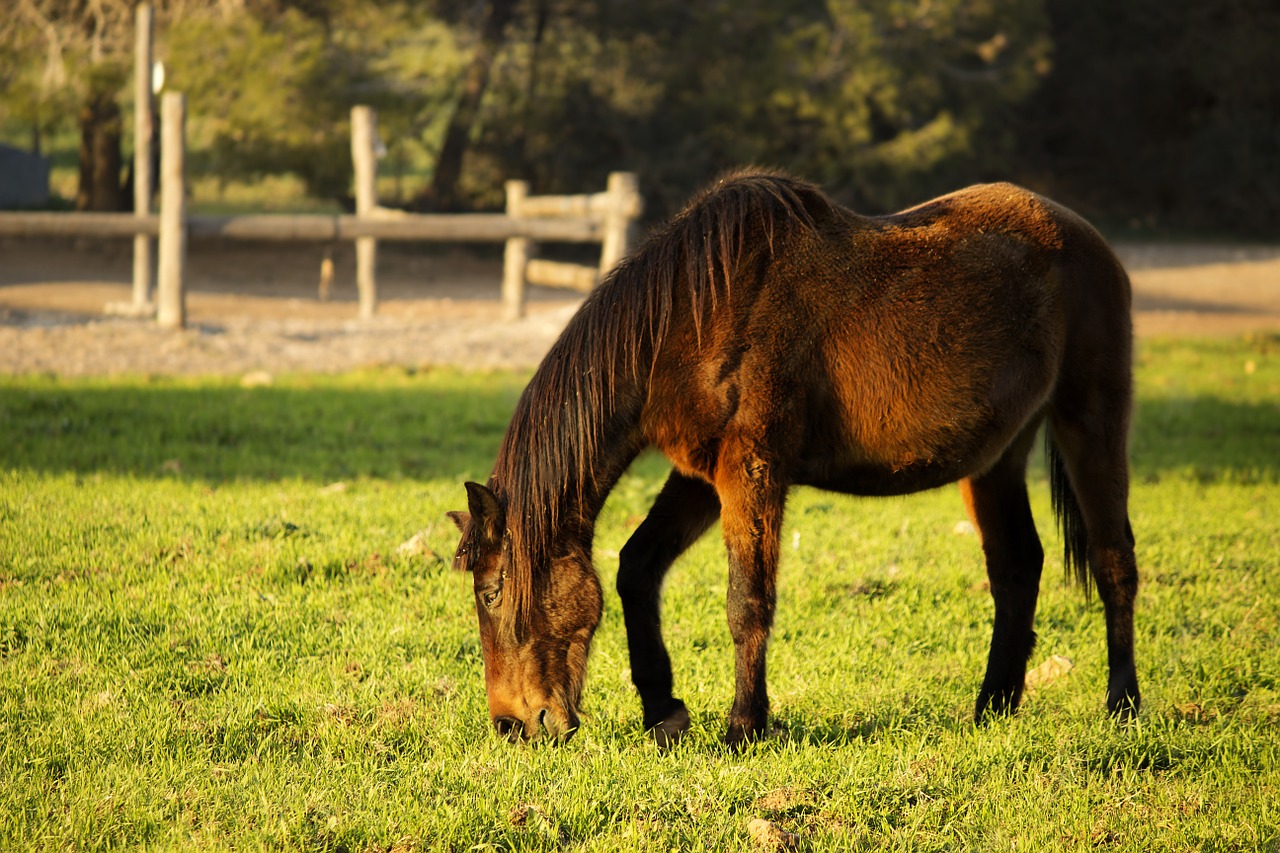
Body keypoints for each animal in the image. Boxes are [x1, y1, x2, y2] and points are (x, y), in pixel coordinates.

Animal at [450, 167, 1141, 742]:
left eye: (492, 592)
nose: (511, 725)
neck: (692, 317)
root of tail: (1089, 241)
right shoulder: (701, 476)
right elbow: (637, 566)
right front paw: (664, 711)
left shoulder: (751, 470)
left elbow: (747, 601)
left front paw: (744, 728)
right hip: (996, 458)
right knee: (1017, 567)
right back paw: (990, 709)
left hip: (1090, 422)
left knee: (1113, 563)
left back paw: (1123, 707)